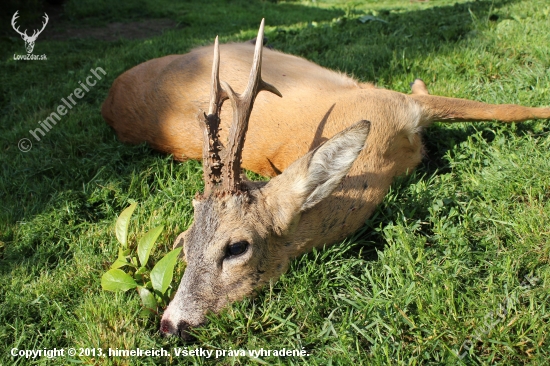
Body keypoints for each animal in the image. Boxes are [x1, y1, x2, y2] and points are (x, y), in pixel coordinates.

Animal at [101, 21, 550, 338]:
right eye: (184, 244)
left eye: (236, 247)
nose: (171, 325)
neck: (383, 157)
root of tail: (108, 99)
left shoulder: (400, 103)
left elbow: (511, 109)